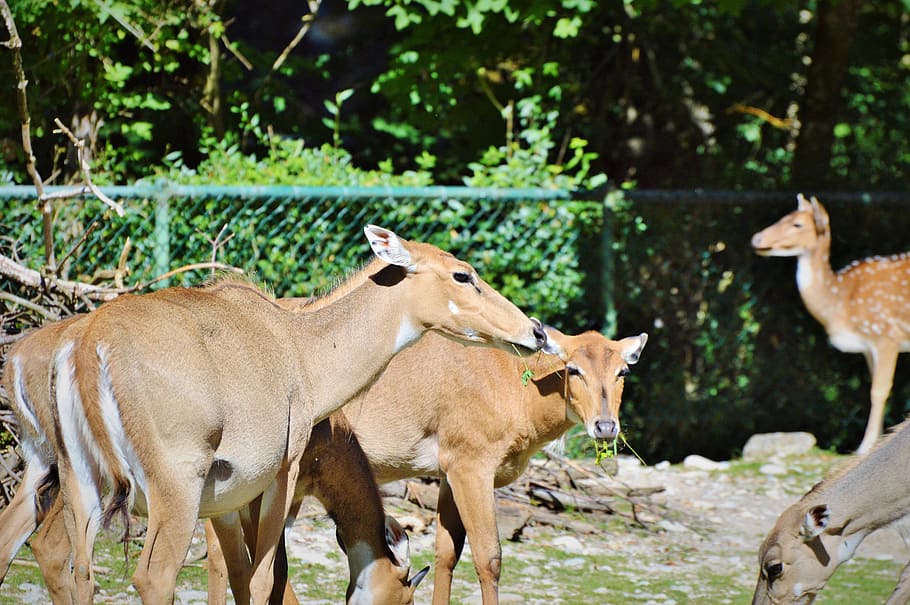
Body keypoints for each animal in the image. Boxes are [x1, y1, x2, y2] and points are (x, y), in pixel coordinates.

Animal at [0, 313, 427, 604]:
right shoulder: (260, 495)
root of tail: (21, 355)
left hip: (49, 468)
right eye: (403, 596)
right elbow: (262, 567)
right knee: (54, 547)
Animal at [49, 224, 550, 605]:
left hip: (82, 483)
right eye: (463, 275)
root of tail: (91, 344)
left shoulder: (227, 500)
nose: (537, 331)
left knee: (78, 571)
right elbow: (266, 577)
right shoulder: (282, 475)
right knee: (153, 577)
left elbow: (241, 574)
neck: (301, 346)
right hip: (175, 490)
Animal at [751, 193, 910, 454]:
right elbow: (878, 388)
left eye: (797, 224)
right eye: (783, 217)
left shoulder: (885, 334)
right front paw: (875, 441)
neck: (840, 304)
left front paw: (864, 446)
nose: (757, 239)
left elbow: (878, 390)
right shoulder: (867, 346)